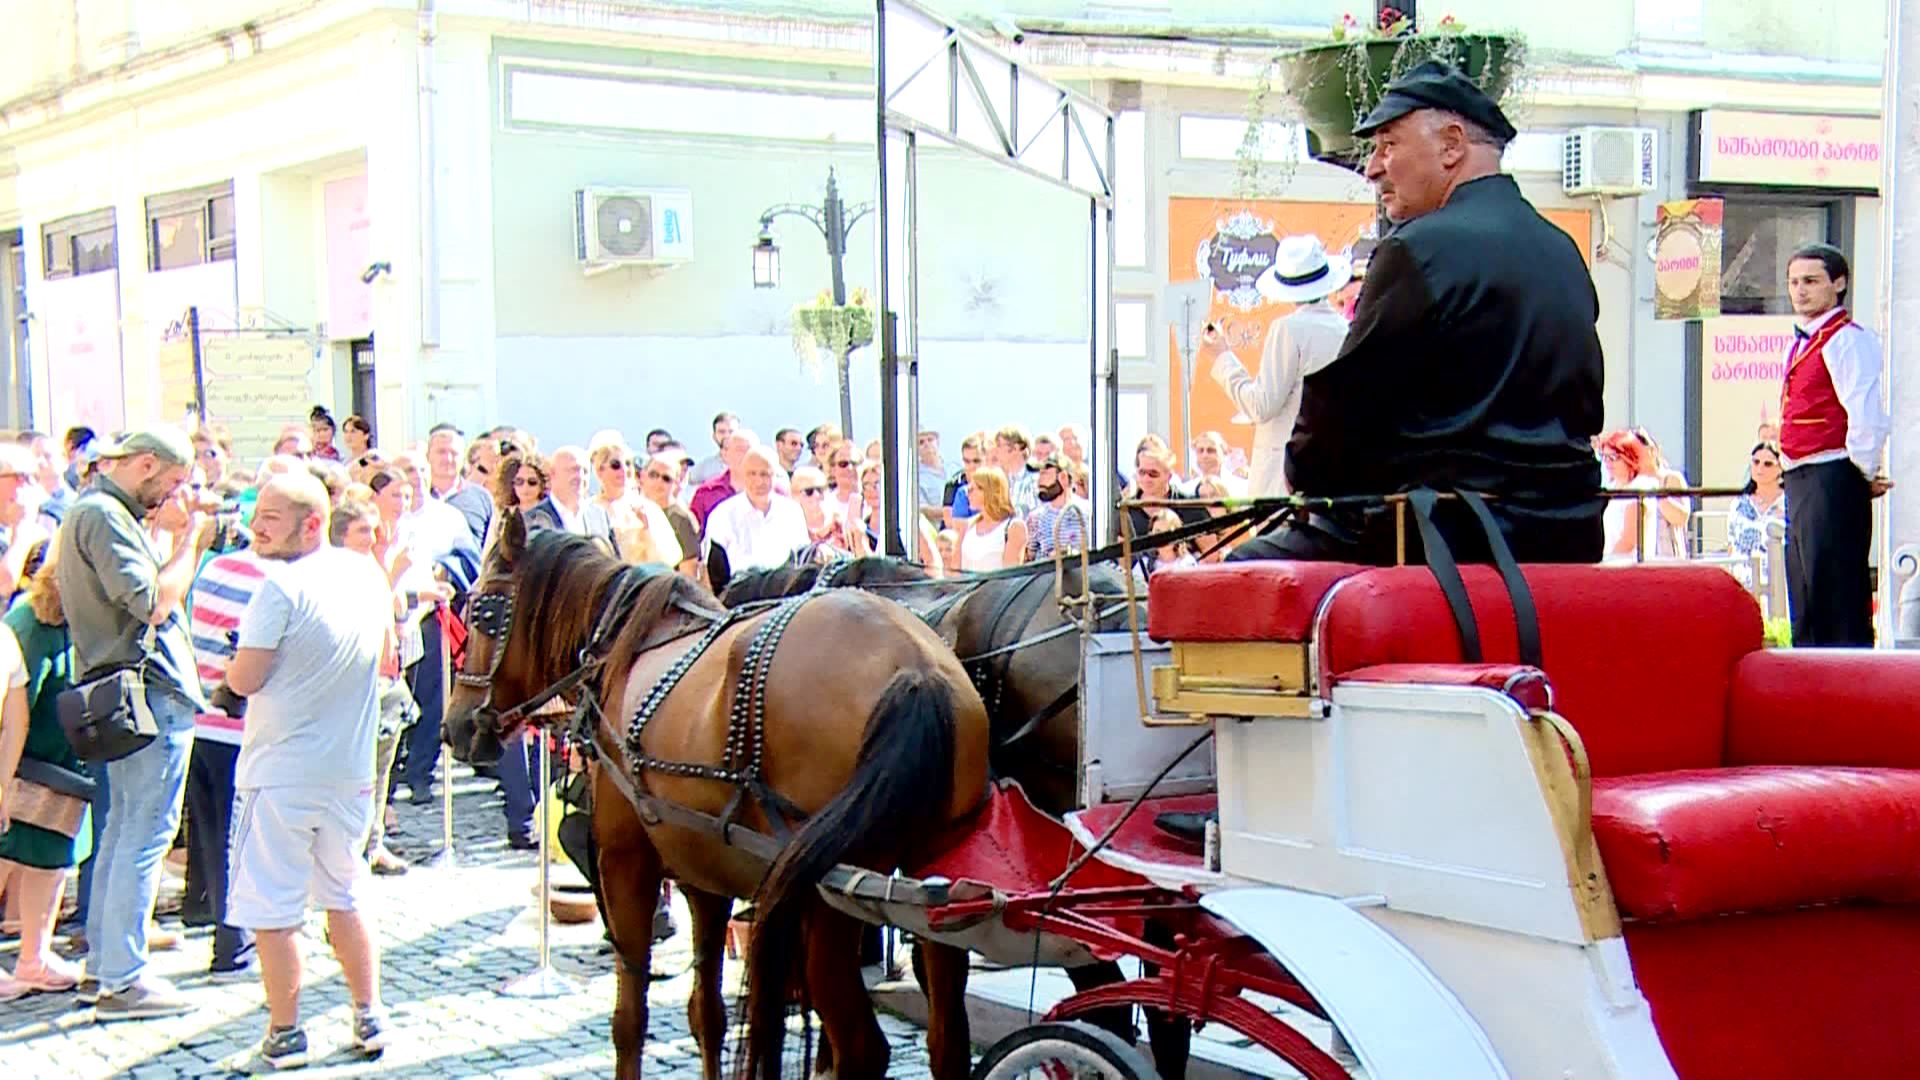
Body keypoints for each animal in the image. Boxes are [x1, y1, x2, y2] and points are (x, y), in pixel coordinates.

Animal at [443, 511, 991, 1080]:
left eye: (481, 610)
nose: (454, 726)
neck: (625, 648)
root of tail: (916, 669)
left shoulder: (625, 866)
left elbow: (629, 1019)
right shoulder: (702, 880)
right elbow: (706, 1013)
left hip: (827, 905)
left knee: (863, 1048)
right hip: (932, 884)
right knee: (946, 1040)